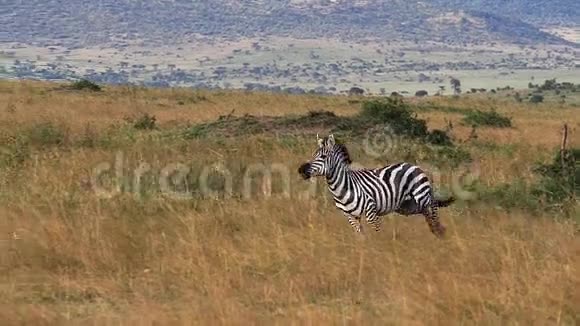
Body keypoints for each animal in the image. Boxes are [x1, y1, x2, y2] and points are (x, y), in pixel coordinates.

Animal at [296, 134, 456, 238]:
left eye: (323, 157)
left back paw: (440, 233)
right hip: (408, 206)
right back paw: (436, 232)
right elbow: (360, 236)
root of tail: (414, 165)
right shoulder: (350, 216)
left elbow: (377, 234)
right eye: (314, 155)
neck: (342, 188)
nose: (301, 170)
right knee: (427, 213)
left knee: (433, 206)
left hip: (421, 195)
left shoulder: (371, 211)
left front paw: (378, 252)